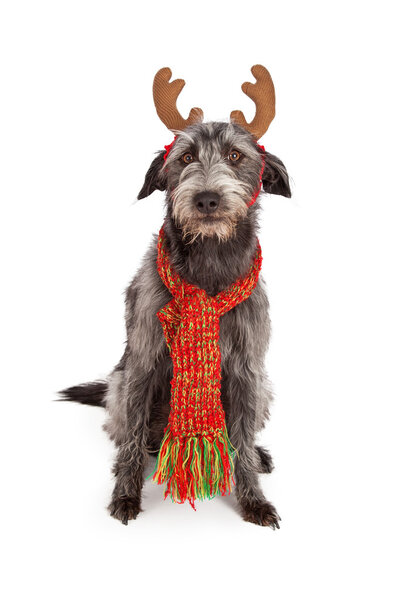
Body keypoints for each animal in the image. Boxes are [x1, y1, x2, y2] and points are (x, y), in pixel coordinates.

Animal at [59, 64, 290, 524]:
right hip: (118, 384)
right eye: (185, 157)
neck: (208, 268)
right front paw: (125, 494)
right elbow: (131, 440)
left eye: (236, 156)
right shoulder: (143, 363)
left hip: (264, 388)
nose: (207, 199)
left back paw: (259, 454)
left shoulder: (247, 370)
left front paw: (253, 497)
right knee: (129, 433)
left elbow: (241, 442)